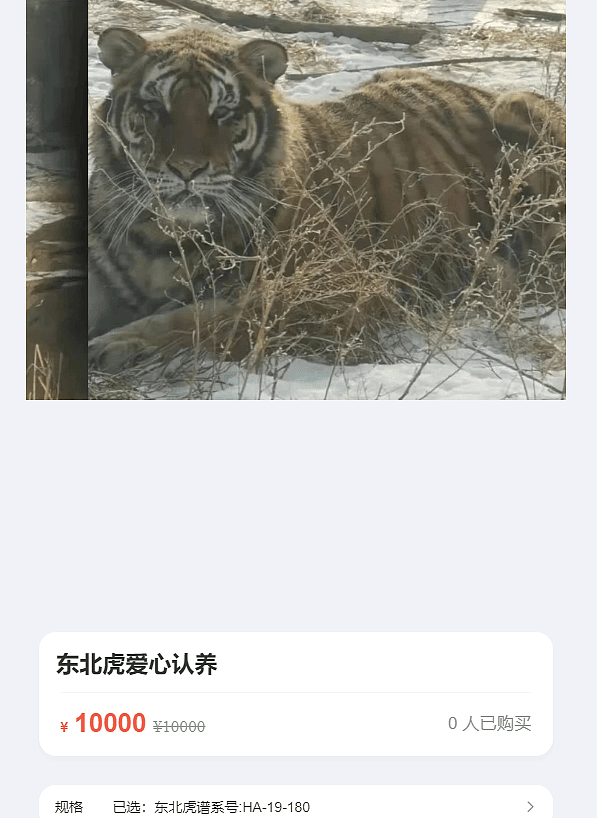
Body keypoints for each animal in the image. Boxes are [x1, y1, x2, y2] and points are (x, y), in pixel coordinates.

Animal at [88, 25, 565, 372]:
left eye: (223, 113)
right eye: (154, 109)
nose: (186, 170)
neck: (165, 238)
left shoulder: (336, 291)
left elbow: (208, 317)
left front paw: (117, 343)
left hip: (520, 112)